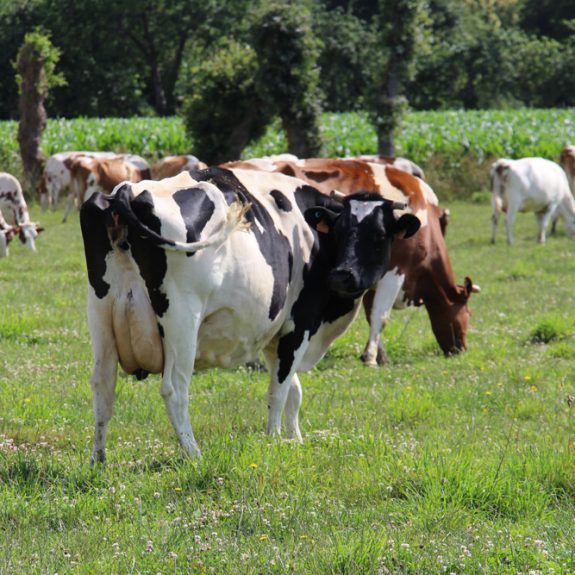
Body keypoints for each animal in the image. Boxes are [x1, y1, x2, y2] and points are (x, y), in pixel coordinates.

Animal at [81, 168, 418, 464]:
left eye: (379, 235)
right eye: (341, 230)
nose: (342, 275)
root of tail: (128, 189)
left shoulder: (273, 333)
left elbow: (294, 390)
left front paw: (295, 439)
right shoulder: (299, 323)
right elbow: (279, 391)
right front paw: (274, 439)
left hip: (101, 312)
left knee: (102, 385)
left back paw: (98, 459)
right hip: (181, 317)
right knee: (174, 390)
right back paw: (194, 454)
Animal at [223, 158, 480, 364]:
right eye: (467, 314)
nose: (462, 349)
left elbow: (369, 313)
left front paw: (380, 355)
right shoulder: (395, 272)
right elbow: (380, 316)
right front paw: (371, 358)